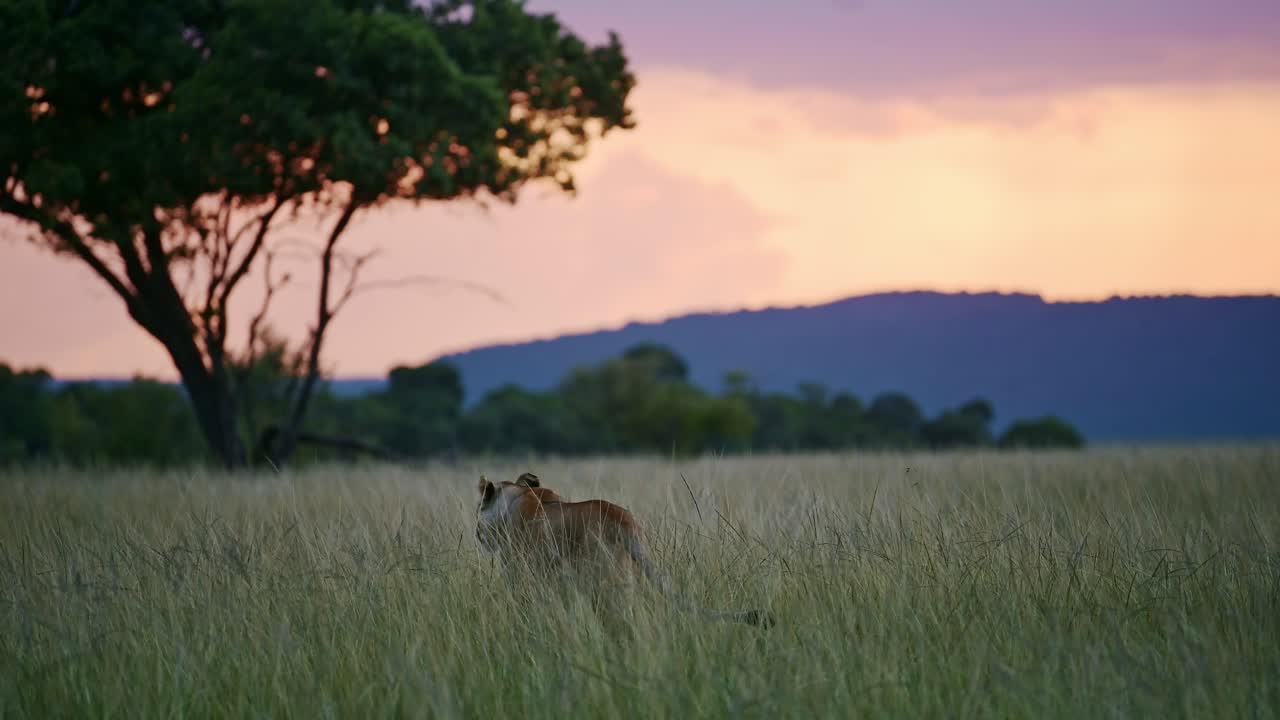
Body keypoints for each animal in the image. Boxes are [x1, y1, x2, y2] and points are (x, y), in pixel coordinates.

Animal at [474, 472, 775, 628]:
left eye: (478, 509)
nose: (477, 533)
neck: (518, 497)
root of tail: (626, 522)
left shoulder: (520, 573)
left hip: (607, 588)